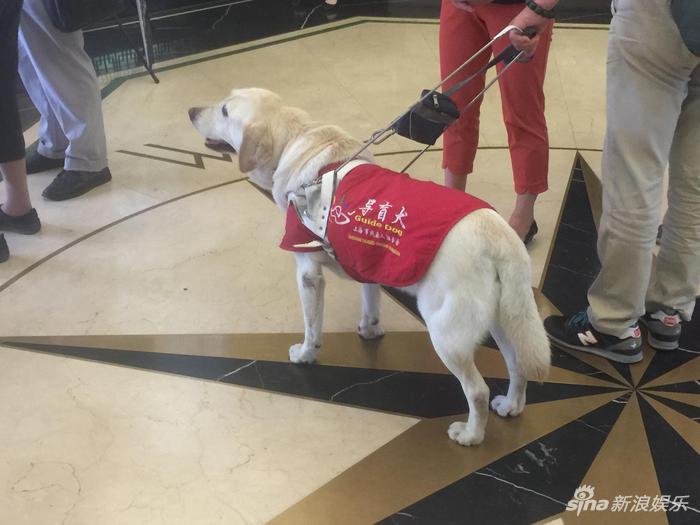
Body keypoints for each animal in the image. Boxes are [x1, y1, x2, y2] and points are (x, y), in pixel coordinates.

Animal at [189, 88, 548, 444]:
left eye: (224, 111)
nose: (191, 111)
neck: (298, 140)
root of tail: (500, 236)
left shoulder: (307, 272)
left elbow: (311, 325)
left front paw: (306, 354)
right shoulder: (369, 260)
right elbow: (370, 298)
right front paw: (370, 329)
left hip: (447, 334)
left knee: (477, 391)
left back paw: (471, 434)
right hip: (505, 319)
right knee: (519, 366)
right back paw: (512, 405)